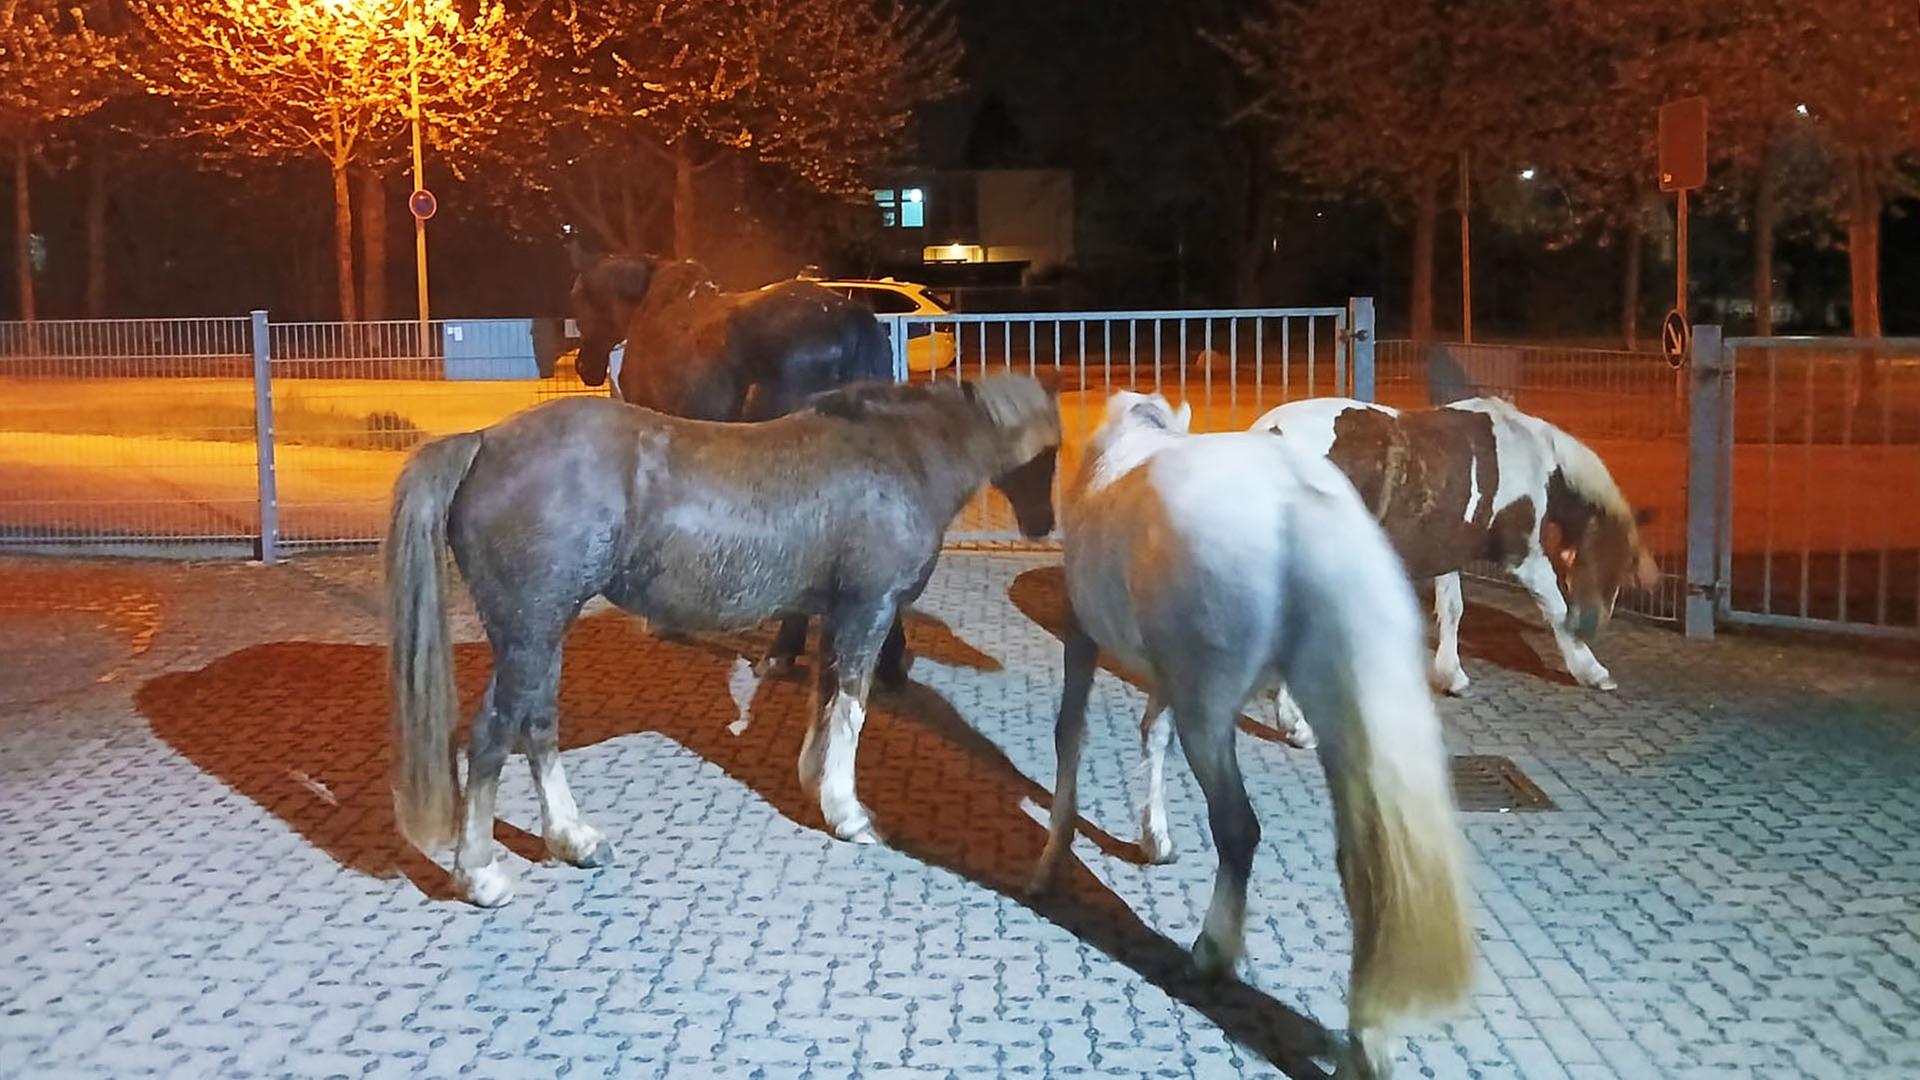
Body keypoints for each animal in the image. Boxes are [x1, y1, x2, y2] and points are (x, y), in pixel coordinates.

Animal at [386, 377, 1061, 907]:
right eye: (1050, 453)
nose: (1043, 525)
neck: (900, 454)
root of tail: (483, 443)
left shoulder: (835, 612)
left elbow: (823, 700)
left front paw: (815, 783)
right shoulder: (869, 611)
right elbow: (850, 707)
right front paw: (849, 814)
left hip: (542, 635)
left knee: (538, 727)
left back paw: (576, 840)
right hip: (530, 632)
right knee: (492, 737)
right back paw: (481, 876)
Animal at [1028, 391, 1473, 1079]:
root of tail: (1298, 509)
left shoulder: (1086, 634)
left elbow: (1069, 736)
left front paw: (1050, 866)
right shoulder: (1169, 671)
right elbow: (1152, 732)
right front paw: (1155, 838)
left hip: (1211, 710)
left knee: (1238, 828)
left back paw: (1211, 953)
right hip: (1329, 705)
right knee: (1363, 860)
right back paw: (1366, 1046)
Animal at [1250, 396, 1657, 714]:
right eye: (1618, 560)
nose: (1591, 624)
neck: (1531, 455)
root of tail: (1271, 432)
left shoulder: (1447, 549)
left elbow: (1451, 609)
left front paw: (1452, 676)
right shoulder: (1524, 555)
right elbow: (1555, 607)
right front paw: (1591, 670)